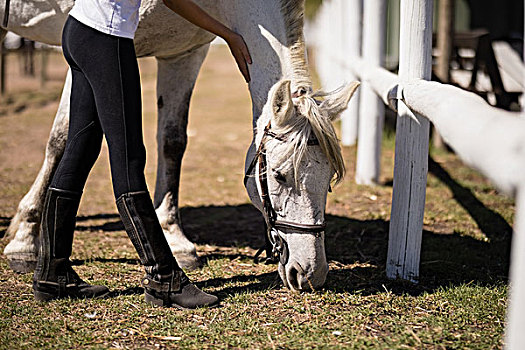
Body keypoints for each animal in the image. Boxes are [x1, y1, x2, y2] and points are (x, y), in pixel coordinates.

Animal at [2, 0, 356, 290]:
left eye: (328, 182)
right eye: (279, 176)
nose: (310, 273)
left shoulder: (183, 55)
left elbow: (172, 141)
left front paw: (174, 236)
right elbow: (61, 138)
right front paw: (25, 241)